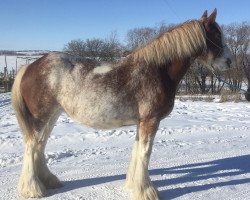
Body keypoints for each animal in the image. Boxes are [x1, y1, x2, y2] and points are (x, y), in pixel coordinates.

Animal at [12, 9, 232, 200]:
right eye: (216, 34)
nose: (229, 62)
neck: (157, 70)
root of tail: (30, 66)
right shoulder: (150, 120)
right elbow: (145, 153)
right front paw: (147, 192)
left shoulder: (141, 122)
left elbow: (137, 151)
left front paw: (134, 185)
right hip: (41, 117)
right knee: (31, 146)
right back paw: (33, 189)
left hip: (52, 116)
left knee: (39, 146)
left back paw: (48, 181)